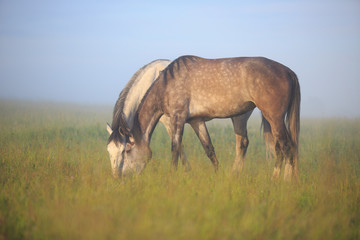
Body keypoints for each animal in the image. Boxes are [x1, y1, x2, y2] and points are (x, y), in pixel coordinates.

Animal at [108, 55, 300, 180]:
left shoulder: (177, 118)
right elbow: (209, 149)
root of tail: (288, 71)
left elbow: (175, 148)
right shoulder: (196, 121)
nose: (118, 178)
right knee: (277, 146)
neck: (165, 81)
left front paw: (172, 177)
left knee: (285, 147)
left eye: (126, 150)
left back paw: (280, 181)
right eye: (109, 152)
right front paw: (218, 175)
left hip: (273, 117)